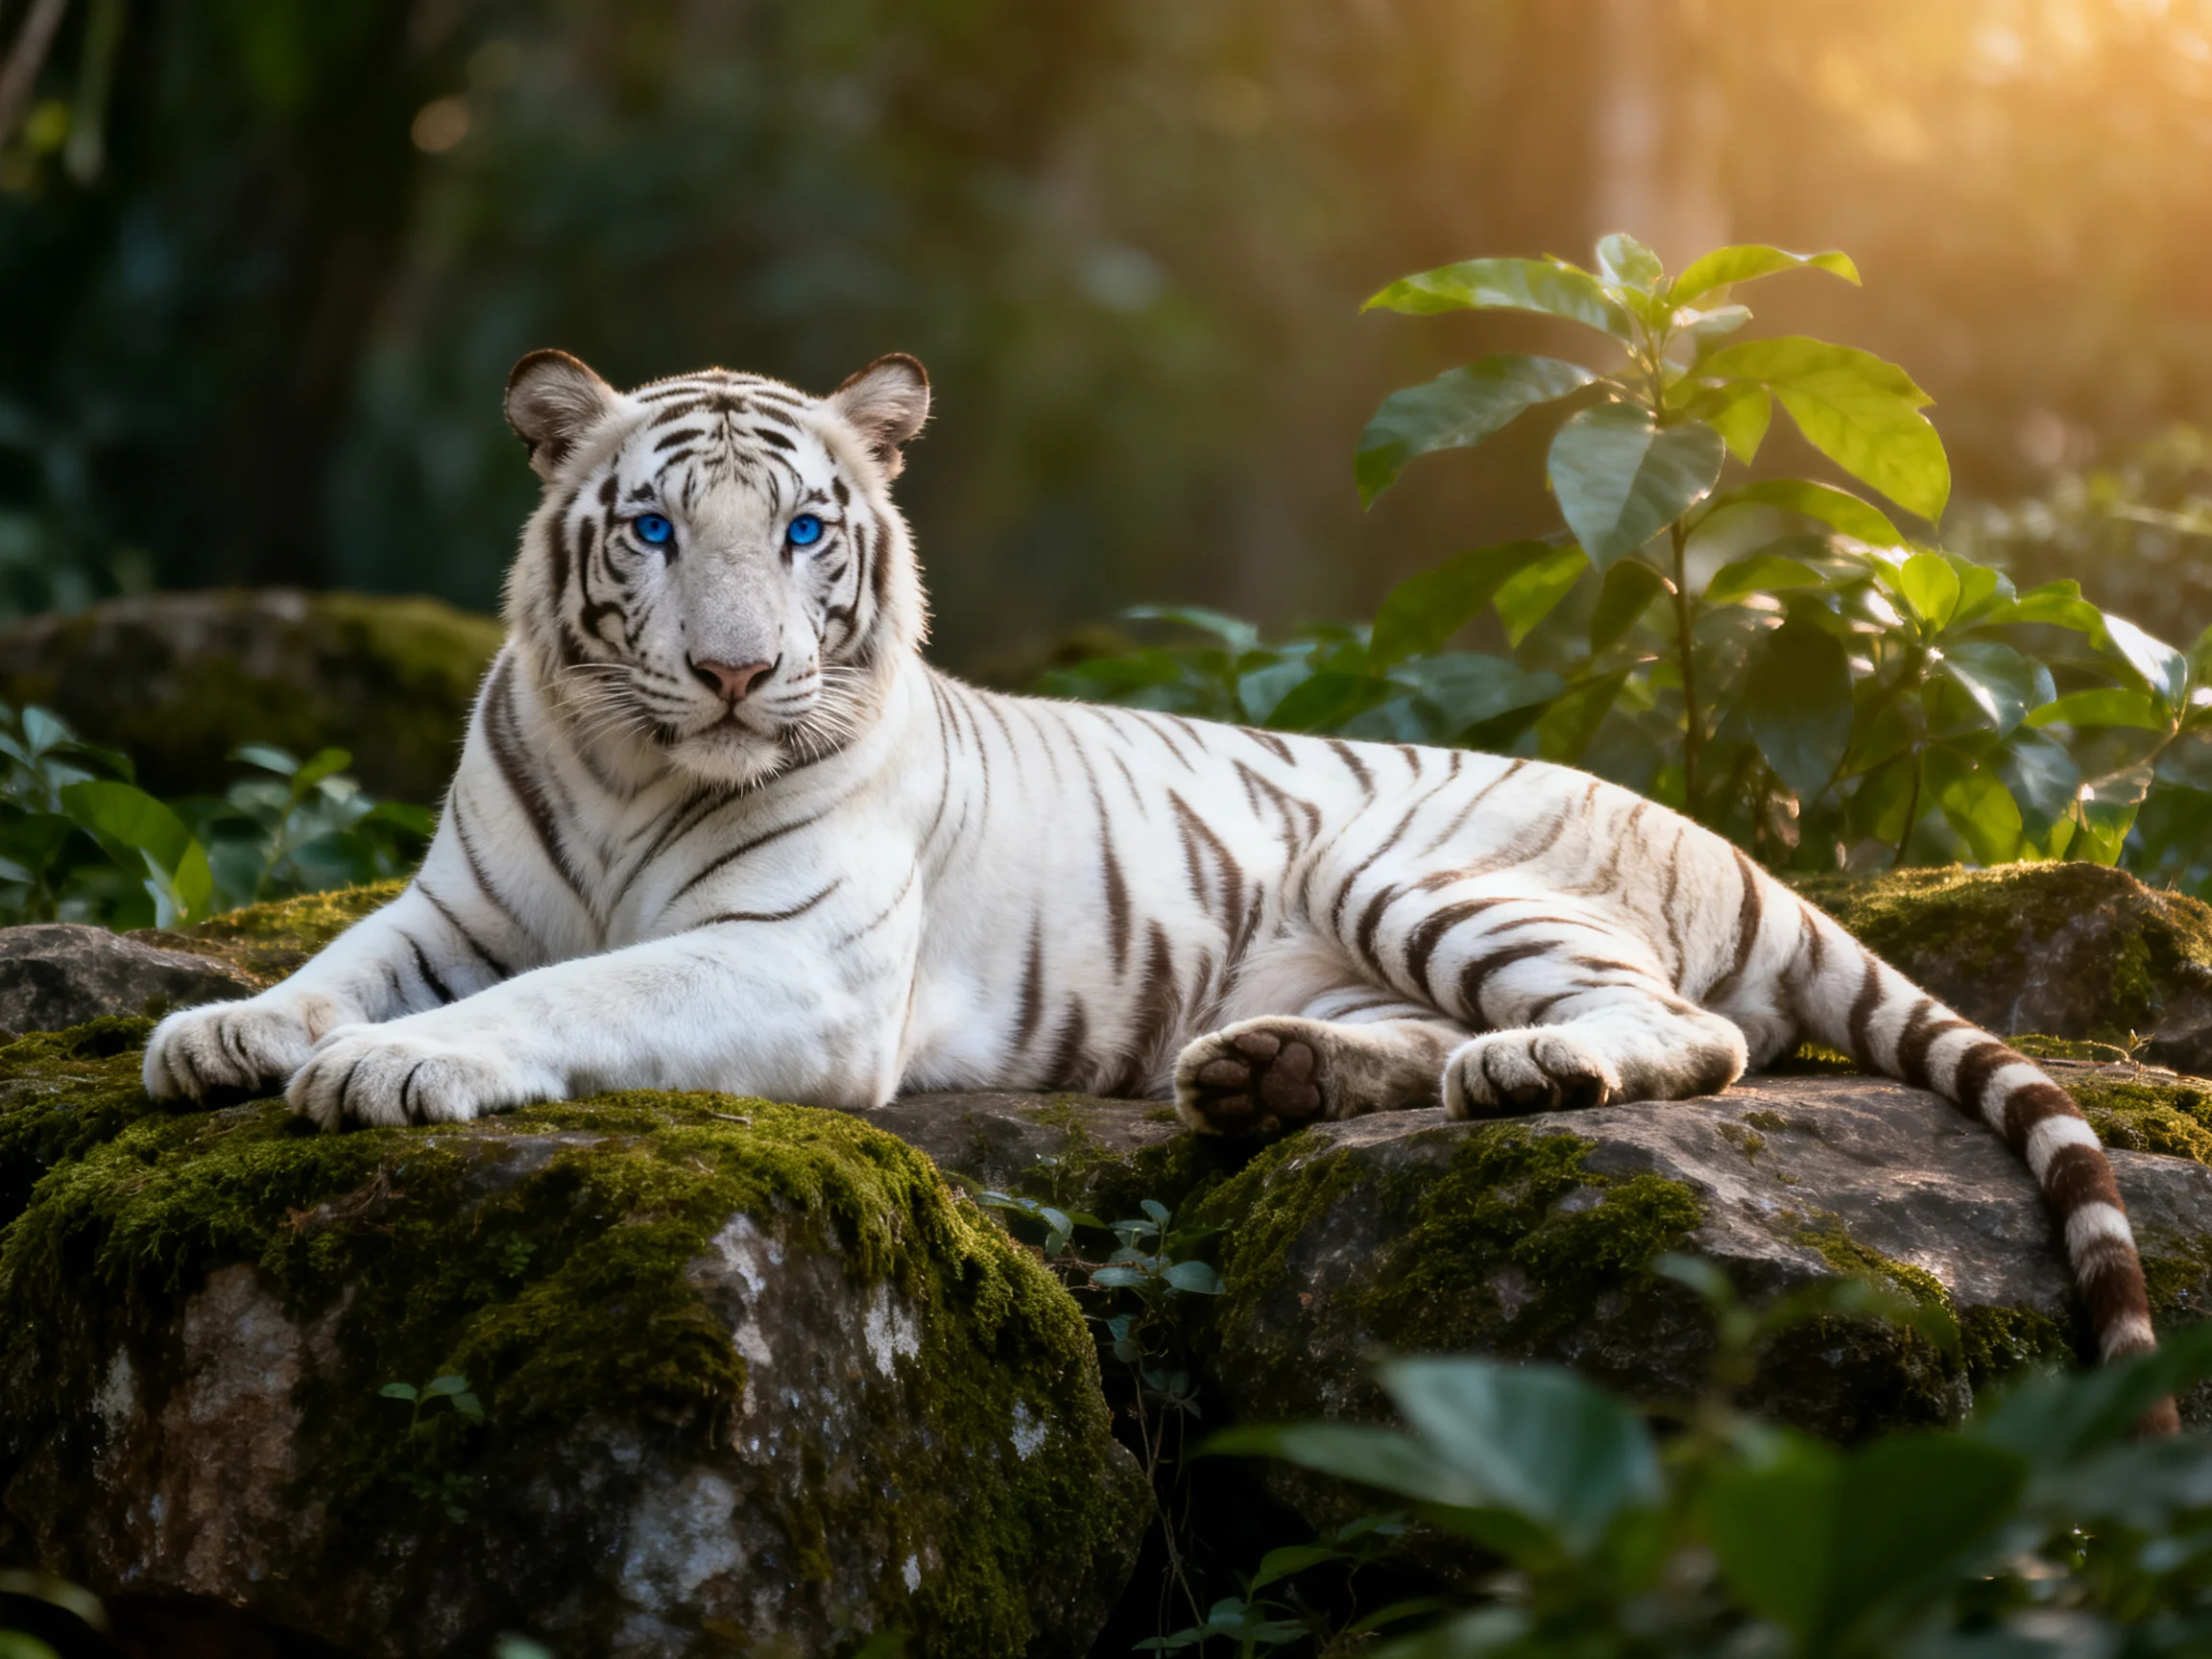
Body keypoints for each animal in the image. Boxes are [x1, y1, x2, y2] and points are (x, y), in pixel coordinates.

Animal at [143, 348, 2172, 1421]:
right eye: (647, 527)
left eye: (798, 531)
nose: (729, 672)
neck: (640, 770)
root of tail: (1712, 831)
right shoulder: (455, 904)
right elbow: (343, 958)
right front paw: (222, 1031)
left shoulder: (789, 961)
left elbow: (571, 991)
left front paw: (401, 1070)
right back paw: (1261, 1075)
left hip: (1405, 863)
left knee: (1683, 1025)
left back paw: (1521, 1071)